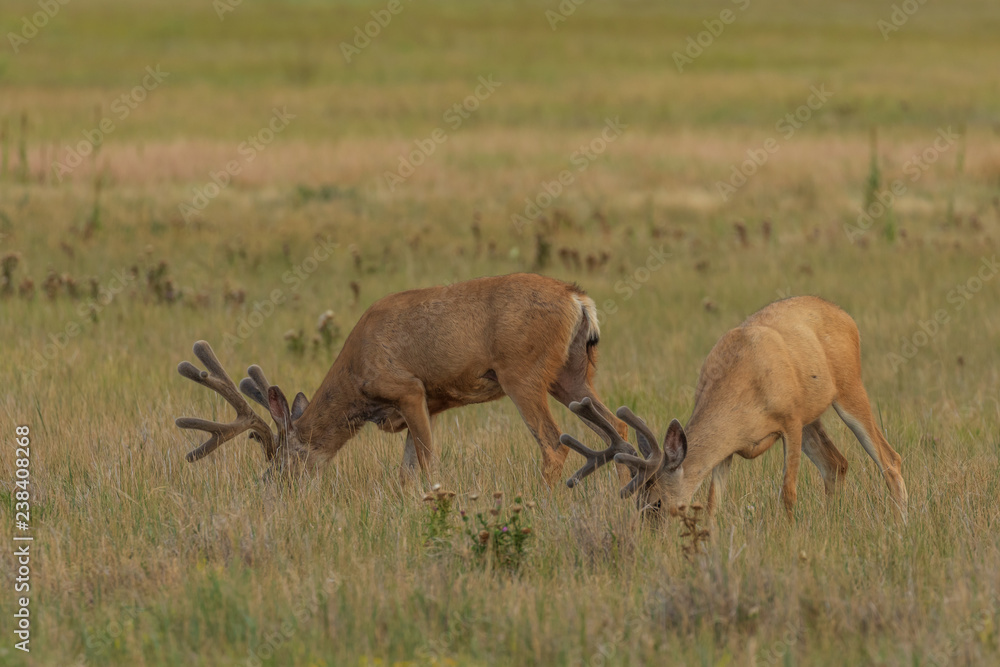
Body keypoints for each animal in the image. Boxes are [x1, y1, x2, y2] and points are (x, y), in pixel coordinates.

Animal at [174, 273, 633, 485]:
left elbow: (426, 463)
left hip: (522, 374)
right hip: (572, 375)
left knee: (554, 444)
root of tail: (578, 298)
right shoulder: (429, 404)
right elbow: (406, 470)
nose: (269, 486)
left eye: (283, 458)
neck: (356, 378)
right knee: (619, 426)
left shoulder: (408, 389)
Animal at [559, 296, 909, 522]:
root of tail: (846, 317)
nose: (648, 536)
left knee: (889, 459)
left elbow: (787, 492)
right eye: (637, 503)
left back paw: (900, 524)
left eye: (656, 502)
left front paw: (788, 537)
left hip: (849, 389)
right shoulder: (728, 449)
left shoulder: (790, 420)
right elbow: (714, 502)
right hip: (813, 419)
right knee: (836, 464)